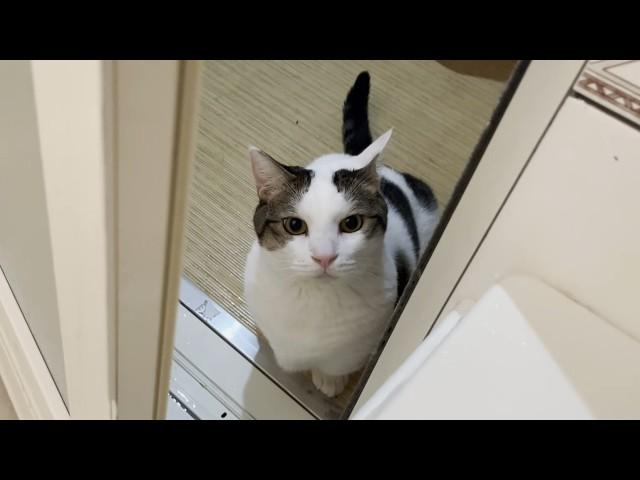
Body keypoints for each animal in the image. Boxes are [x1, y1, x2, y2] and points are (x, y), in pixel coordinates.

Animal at [242, 71, 438, 398]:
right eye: (294, 226)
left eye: (352, 223)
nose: (324, 257)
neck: (312, 299)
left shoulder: (367, 335)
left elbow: (338, 362)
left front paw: (329, 380)